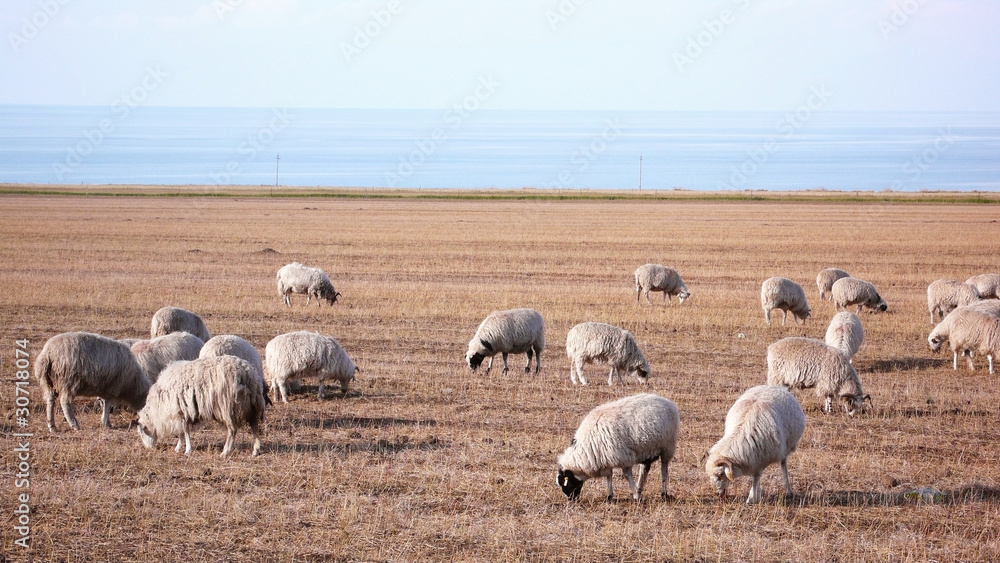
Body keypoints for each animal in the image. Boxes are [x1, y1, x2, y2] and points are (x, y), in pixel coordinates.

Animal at [136, 355, 265, 457]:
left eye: (141, 433)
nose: (149, 448)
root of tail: (248, 373)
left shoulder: (181, 411)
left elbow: (185, 431)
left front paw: (187, 450)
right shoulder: (183, 413)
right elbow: (182, 432)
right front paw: (178, 447)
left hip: (229, 406)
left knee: (232, 430)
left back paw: (225, 452)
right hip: (250, 405)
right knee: (254, 426)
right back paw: (255, 450)